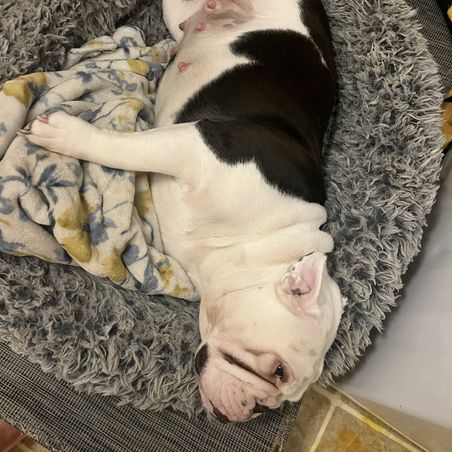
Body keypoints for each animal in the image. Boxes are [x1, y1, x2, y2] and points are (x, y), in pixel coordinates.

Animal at [22, 0, 346, 423]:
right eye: (278, 370)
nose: (253, 410)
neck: (262, 241)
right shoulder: (193, 147)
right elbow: (123, 149)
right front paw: (67, 135)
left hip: (178, 17)